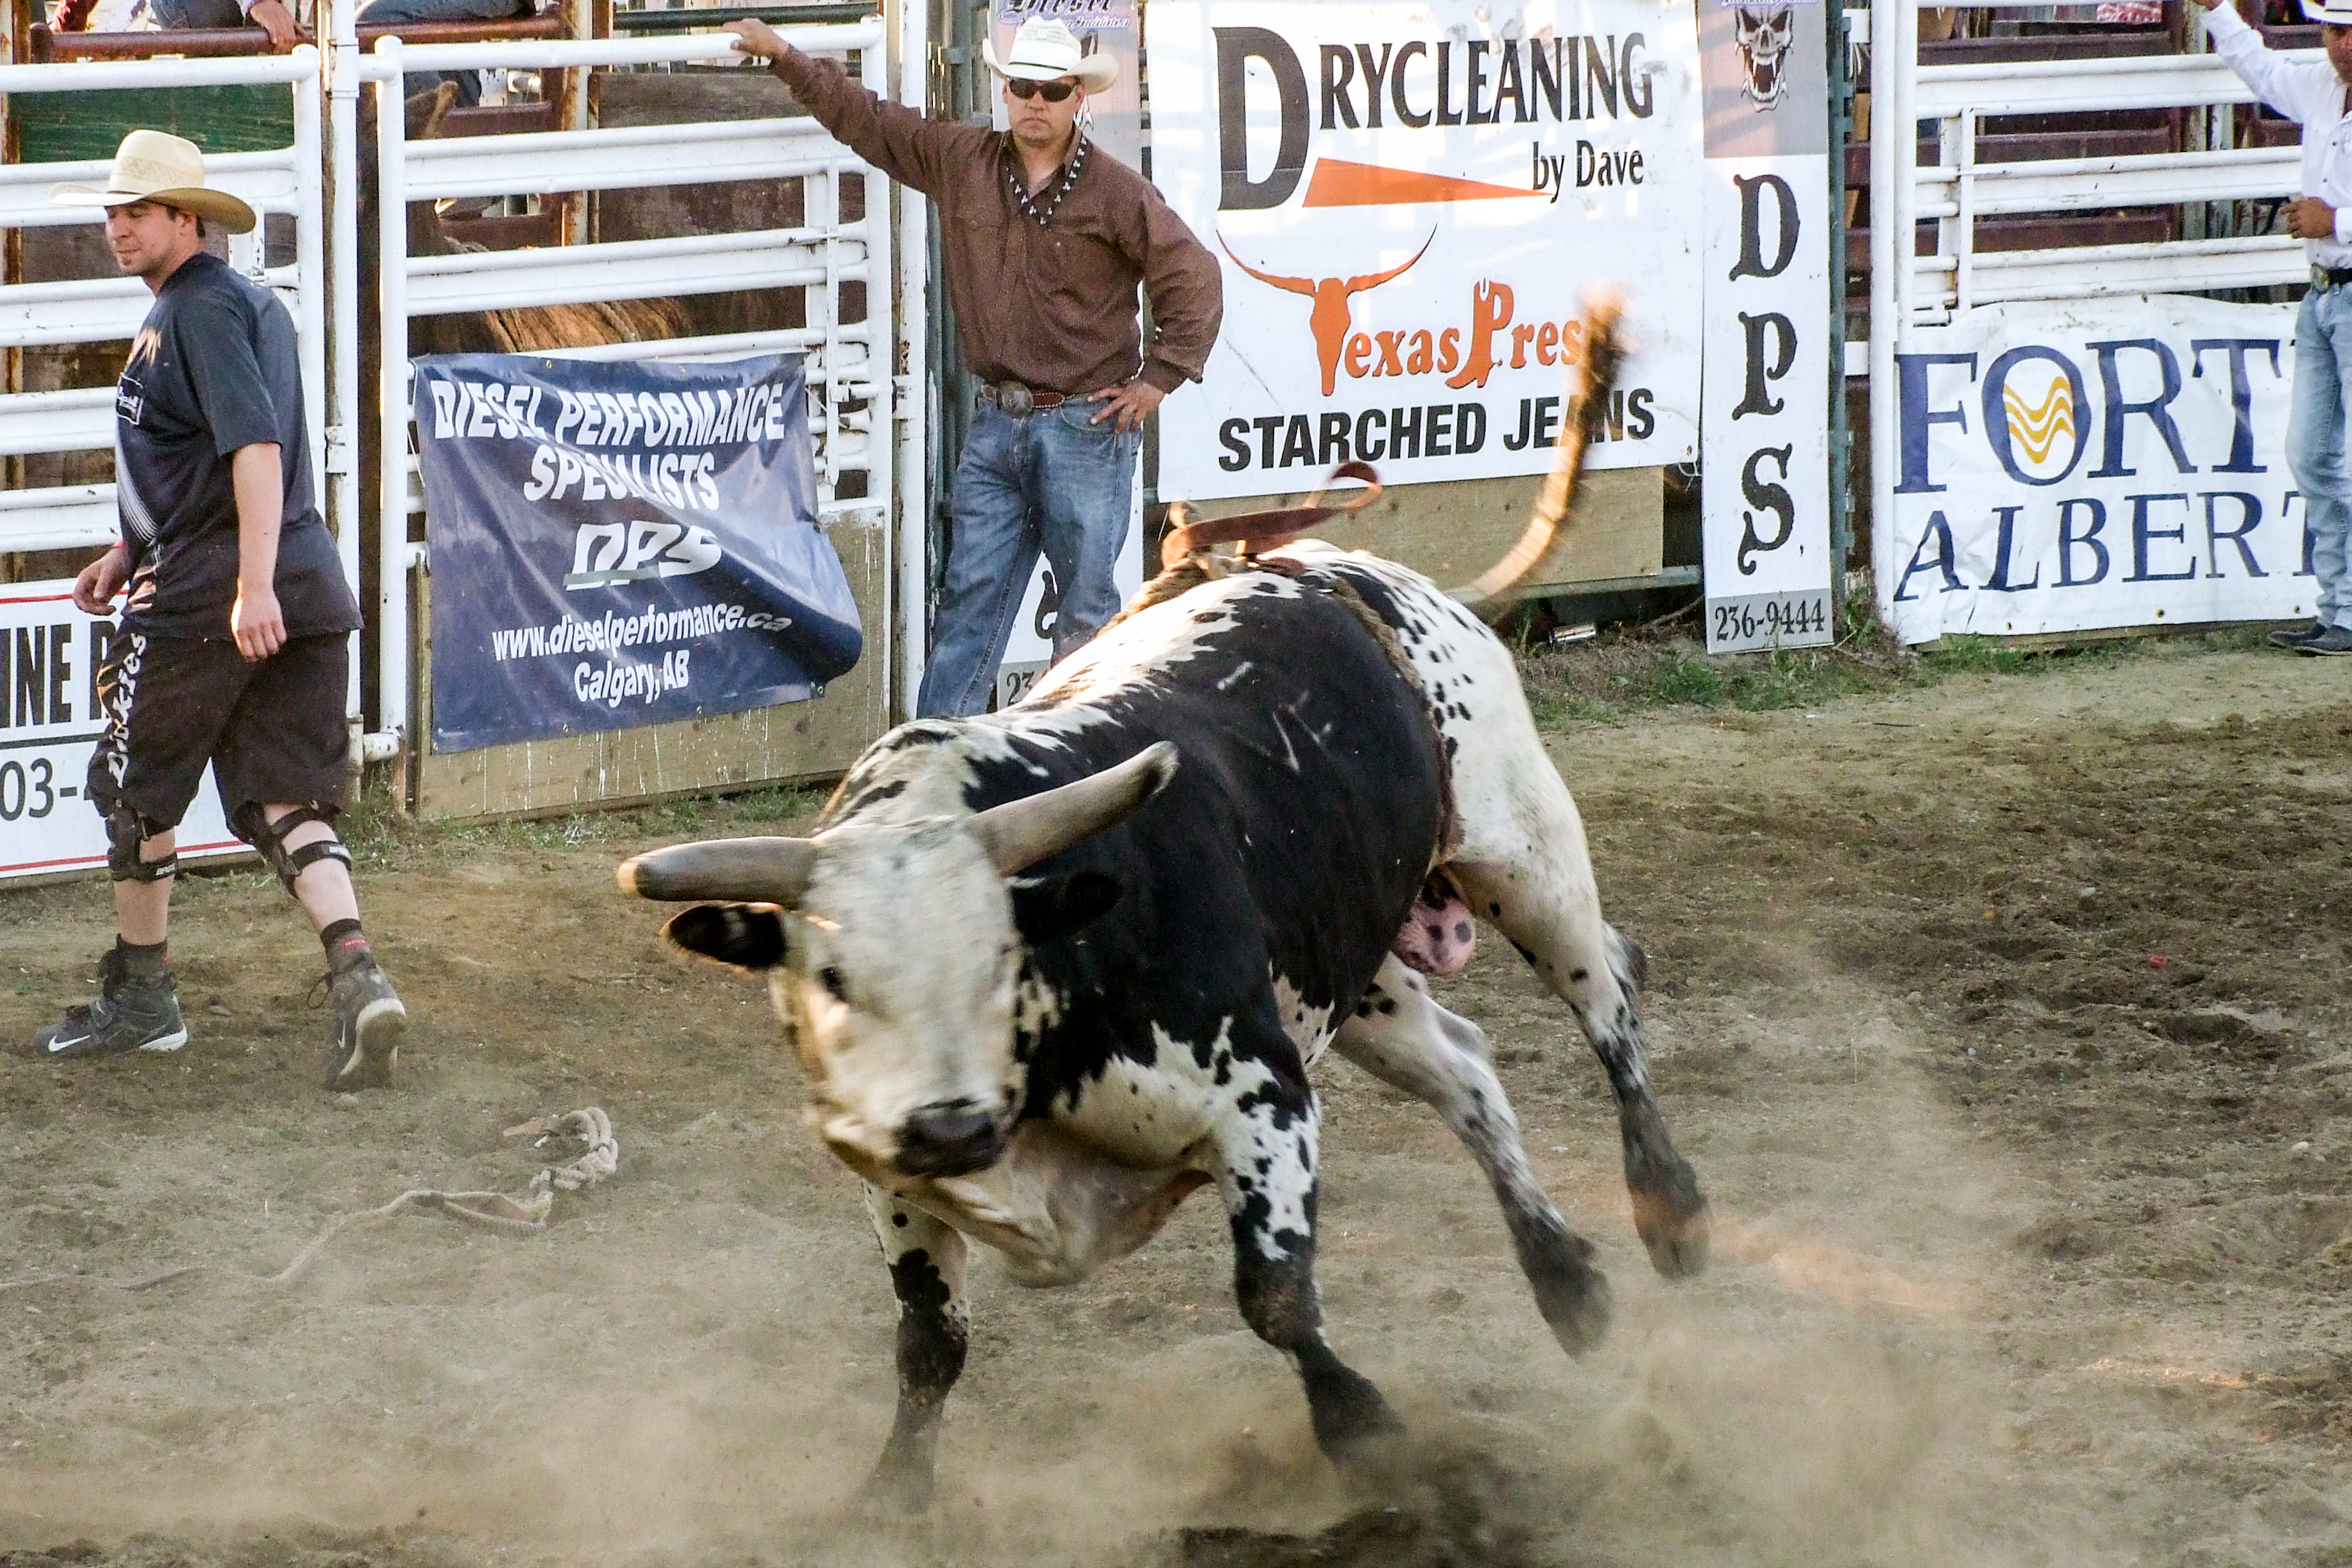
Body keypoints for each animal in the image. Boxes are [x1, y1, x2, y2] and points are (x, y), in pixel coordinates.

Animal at [616, 538, 1712, 1506]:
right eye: (834, 977)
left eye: (996, 958)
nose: (951, 1128)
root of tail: (1334, 570)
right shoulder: (892, 1178)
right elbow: (928, 1344)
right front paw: (892, 1493)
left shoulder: (1263, 1105)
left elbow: (1275, 1298)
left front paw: (1367, 1432)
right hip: (1355, 978)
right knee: (1469, 1069)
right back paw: (1567, 1283)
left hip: (1523, 856)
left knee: (1609, 996)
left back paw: (1671, 1213)